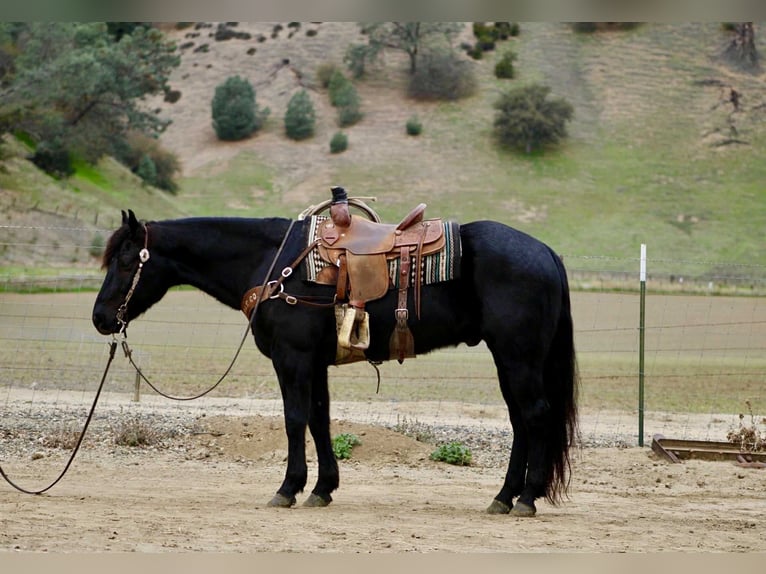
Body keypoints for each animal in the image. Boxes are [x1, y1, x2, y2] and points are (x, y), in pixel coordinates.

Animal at [92, 206, 578, 517]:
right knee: (520, 420)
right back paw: (504, 497)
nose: (100, 317)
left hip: (517, 357)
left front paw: (288, 488)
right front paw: (322, 489)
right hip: (509, 360)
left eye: (124, 260)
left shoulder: (292, 359)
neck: (274, 262)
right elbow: (319, 419)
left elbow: (294, 418)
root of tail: (546, 252)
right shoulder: (315, 363)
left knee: (535, 415)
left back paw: (526, 498)